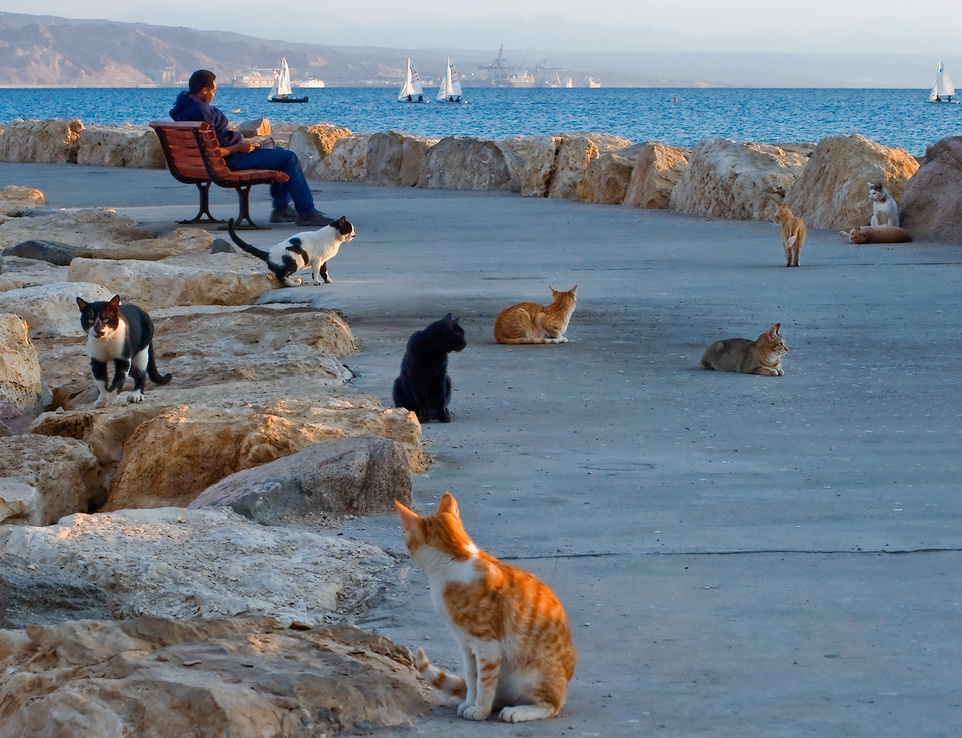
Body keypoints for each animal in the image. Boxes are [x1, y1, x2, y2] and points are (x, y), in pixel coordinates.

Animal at [394, 492, 572, 720]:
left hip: (535, 676)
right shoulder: (467, 644)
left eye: (408, 541)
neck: (454, 558)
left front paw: (480, 710)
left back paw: (519, 711)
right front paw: (471, 702)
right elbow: (472, 678)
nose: (407, 551)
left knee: (550, 706)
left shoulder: (487, 645)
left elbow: (484, 682)